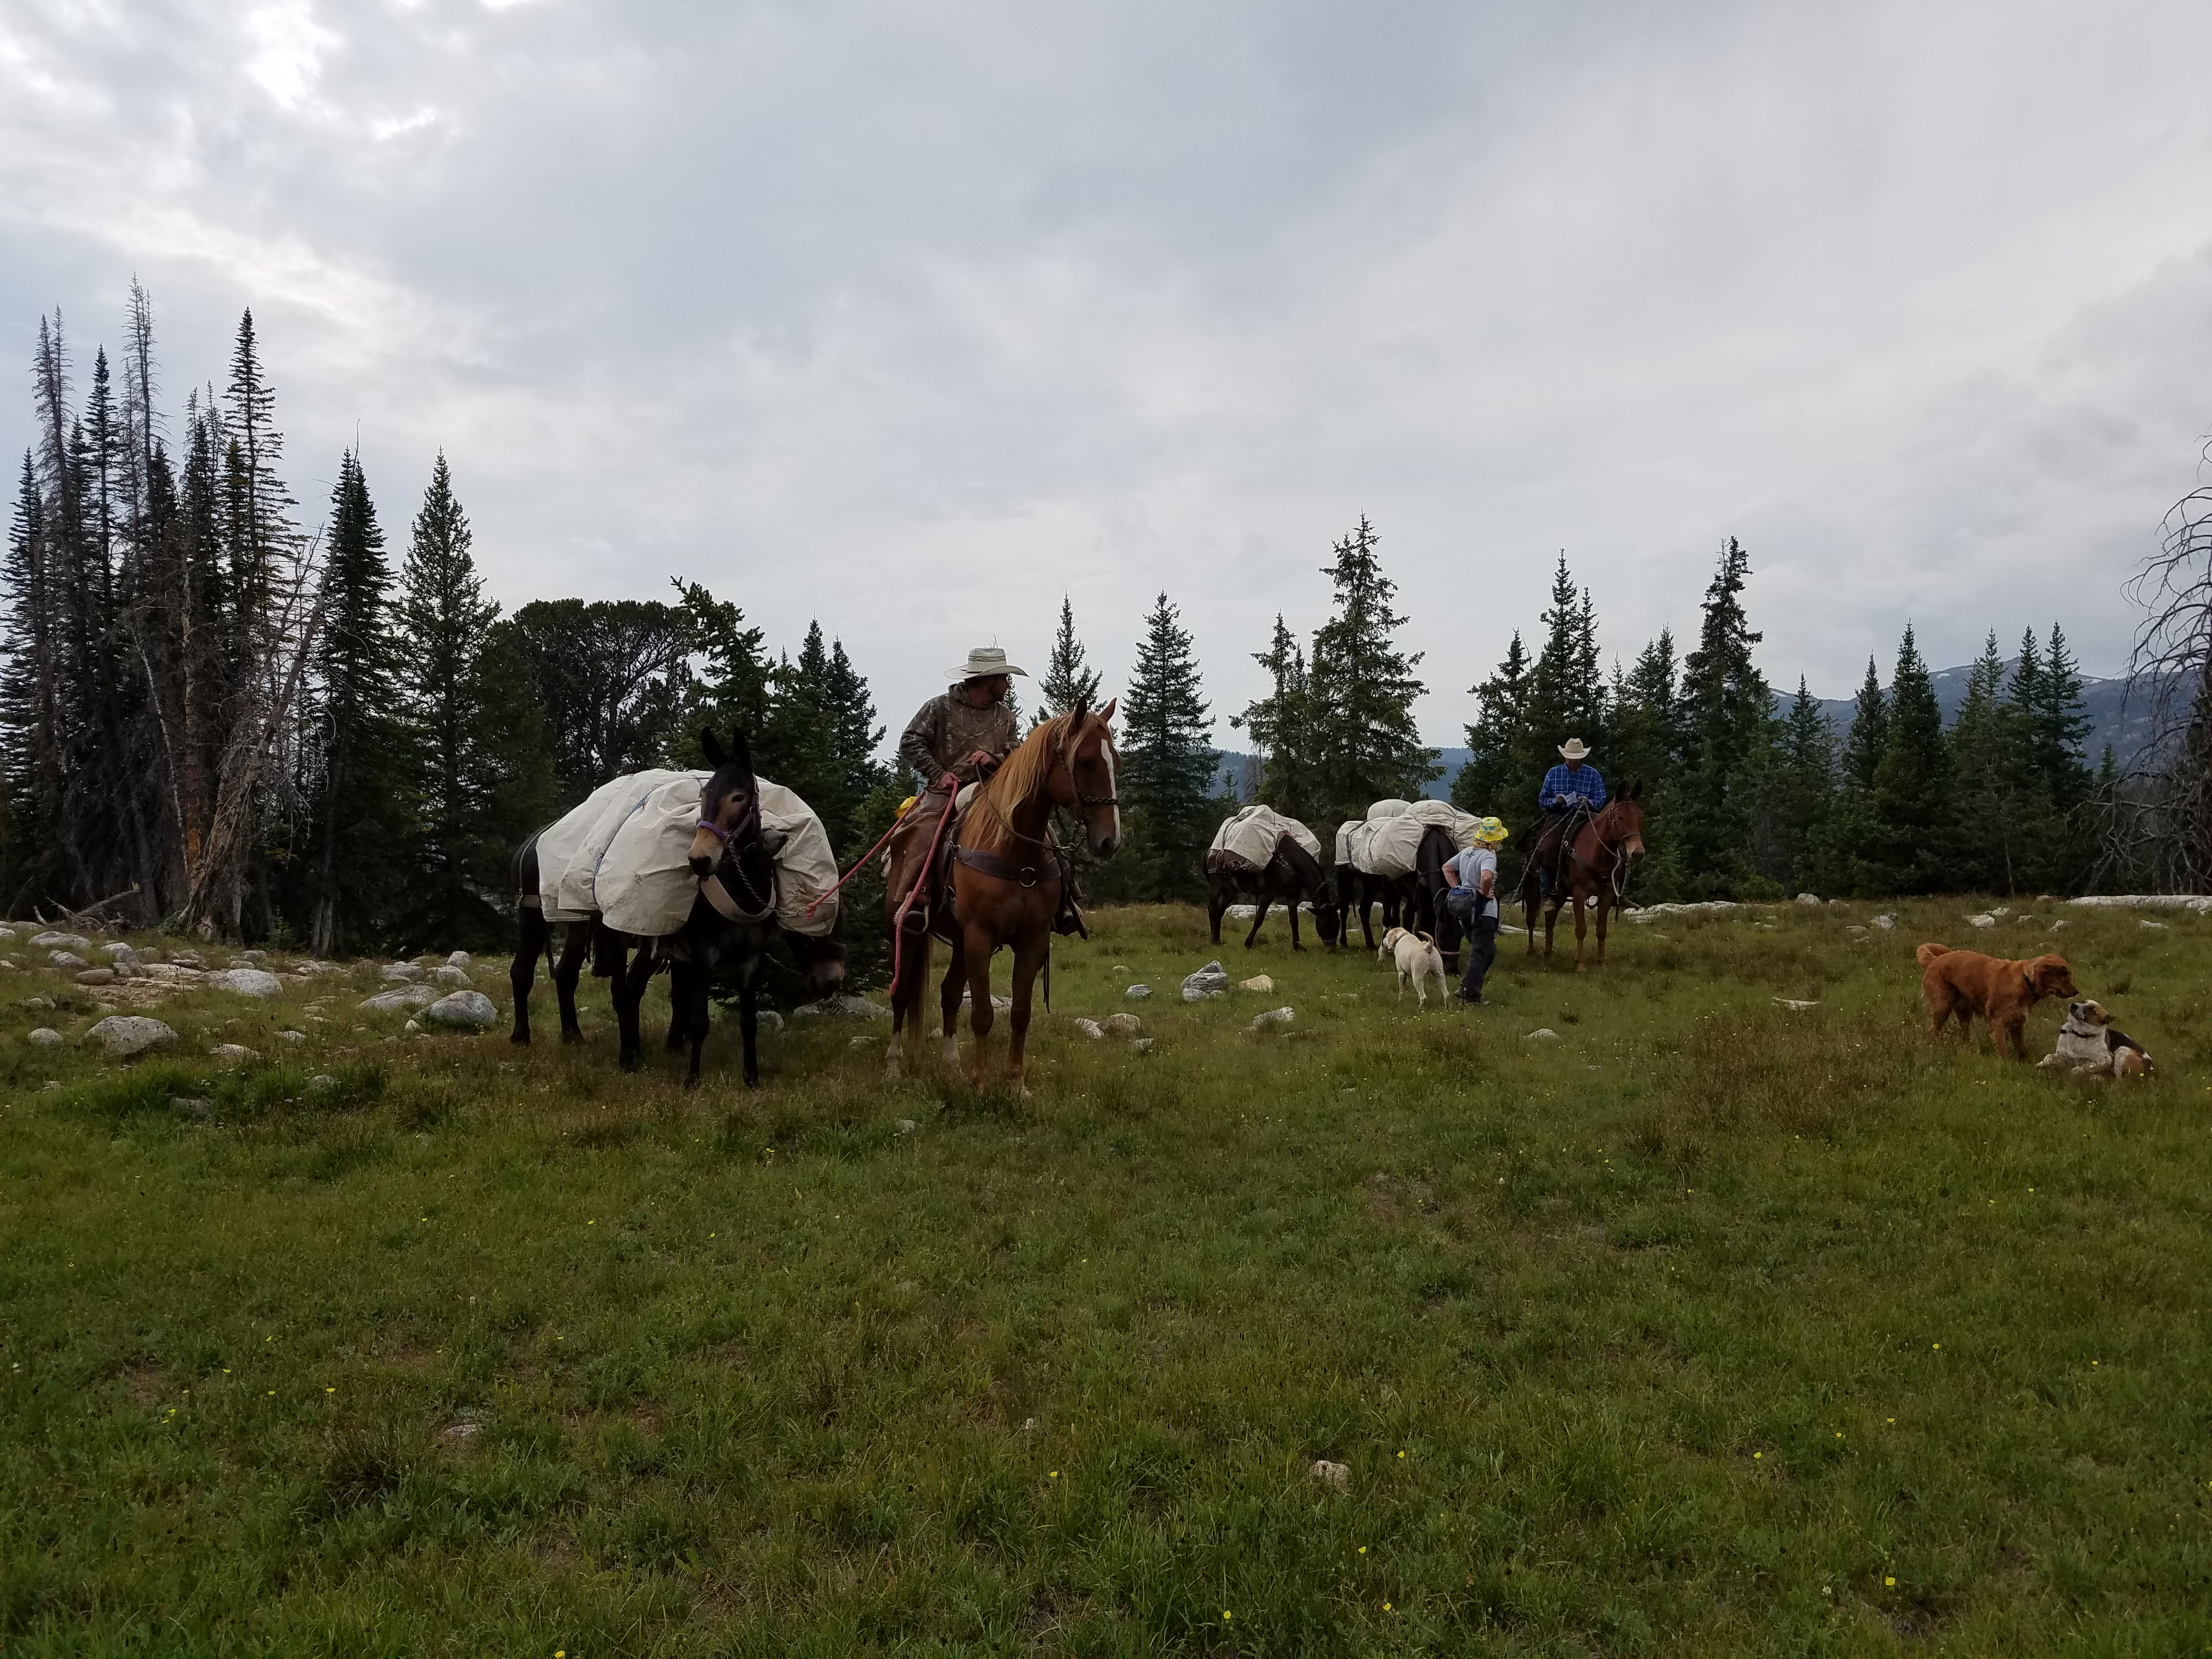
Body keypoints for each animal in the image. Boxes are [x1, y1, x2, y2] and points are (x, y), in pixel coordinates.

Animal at [884, 703, 1124, 1092]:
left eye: (1115, 761)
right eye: (1086, 762)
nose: (1109, 841)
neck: (1013, 850)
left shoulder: (1032, 940)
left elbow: (1020, 1013)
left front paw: (1015, 1083)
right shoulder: (980, 937)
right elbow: (982, 1014)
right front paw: (982, 1083)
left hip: (959, 942)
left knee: (950, 994)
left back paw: (952, 1066)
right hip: (909, 932)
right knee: (902, 993)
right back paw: (893, 1065)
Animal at [1380, 924, 1451, 1013]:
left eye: (1387, 935)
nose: (1383, 940)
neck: (1402, 936)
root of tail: (1428, 947)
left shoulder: (1401, 973)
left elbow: (1401, 991)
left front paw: (1400, 1001)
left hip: (1417, 977)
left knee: (1424, 997)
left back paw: (1420, 1008)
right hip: (1439, 976)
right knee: (1446, 994)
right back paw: (1446, 1009)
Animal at [1522, 783, 1645, 969]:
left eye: (1640, 817)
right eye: (1620, 817)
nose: (1637, 853)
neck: (1597, 853)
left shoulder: (1607, 895)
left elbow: (1602, 929)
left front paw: (1602, 963)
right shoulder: (1579, 894)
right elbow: (1581, 929)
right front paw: (1580, 964)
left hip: (1560, 894)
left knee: (1550, 920)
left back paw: (1548, 954)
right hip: (1532, 887)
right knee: (1531, 919)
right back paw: (1531, 952)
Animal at [1911, 942, 2079, 1057]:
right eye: (2065, 974)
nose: (2077, 991)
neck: (2025, 981)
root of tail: (1934, 960)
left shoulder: (2018, 1022)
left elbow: (2021, 1048)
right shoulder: (1998, 1022)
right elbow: (2003, 1050)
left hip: (1965, 1012)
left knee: (1964, 1033)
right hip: (1942, 1008)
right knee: (1932, 1032)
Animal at [2026, 1000, 2150, 1079]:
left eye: (2092, 1010)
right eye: (2082, 1001)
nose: (2073, 1005)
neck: (2078, 1034)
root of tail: (2152, 1068)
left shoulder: (2106, 1060)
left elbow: (2082, 1067)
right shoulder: (2062, 1055)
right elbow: (2048, 1057)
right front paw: (2040, 1065)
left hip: (2123, 1050)